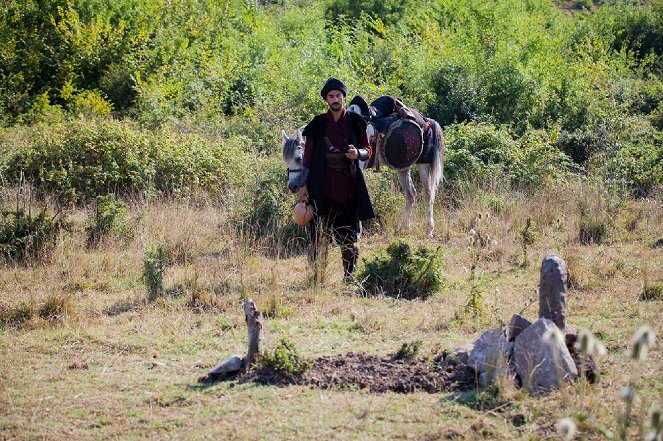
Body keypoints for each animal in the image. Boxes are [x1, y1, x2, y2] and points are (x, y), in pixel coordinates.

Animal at [282, 102, 444, 237]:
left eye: (299, 158)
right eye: (286, 160)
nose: (292, 186)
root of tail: (427, 121)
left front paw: (357, 231)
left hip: (423, 164)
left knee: (428, 195)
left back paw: (429, 230)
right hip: (403, 167)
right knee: (411, 195)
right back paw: (404, 226)